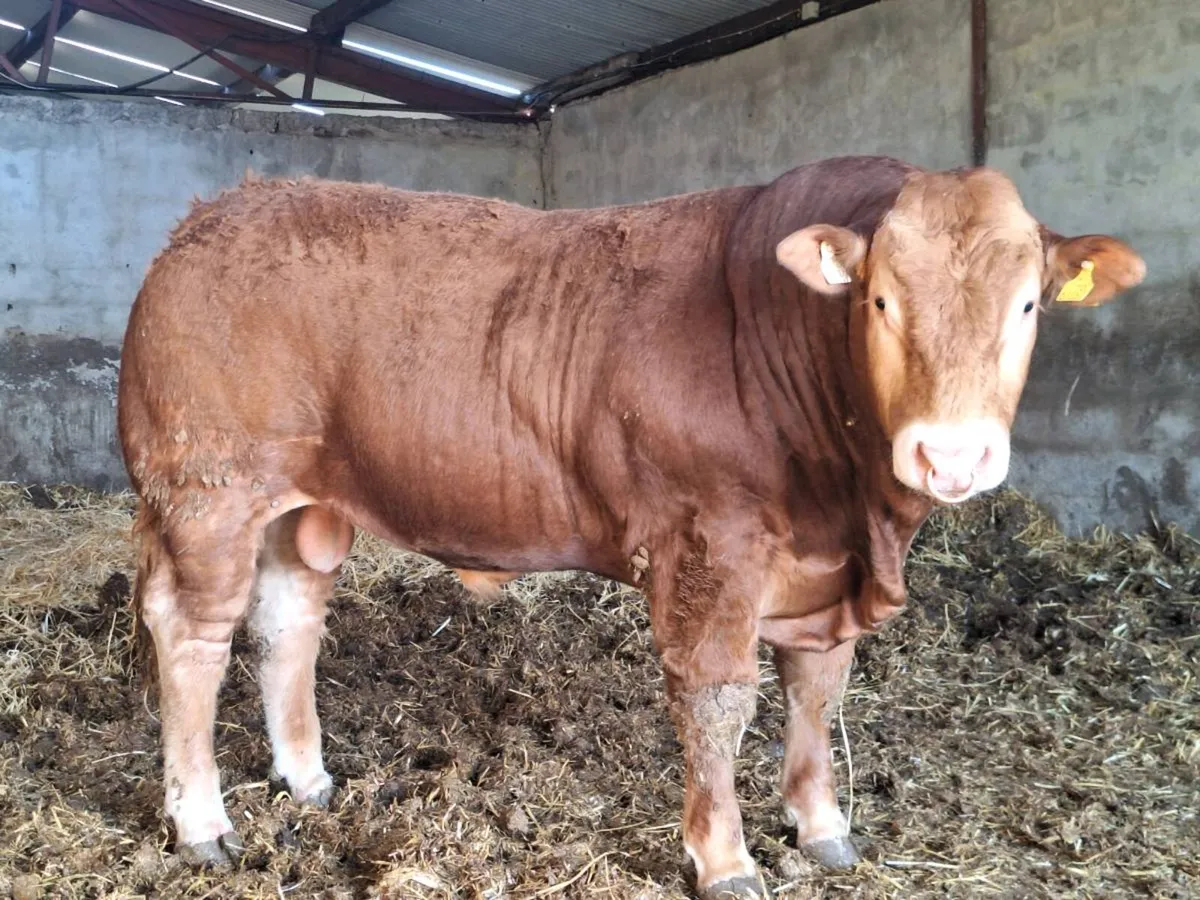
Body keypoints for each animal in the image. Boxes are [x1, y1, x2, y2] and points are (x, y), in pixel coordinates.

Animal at [116, 156, 1144, 898]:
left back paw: (308, 779)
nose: (951, 456)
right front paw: (725, 860)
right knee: (194, 635)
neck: (855, 514)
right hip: (206, 492)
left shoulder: (821, 577)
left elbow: (818, 693)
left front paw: (822, 827)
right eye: (881, 300)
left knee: (287, 623)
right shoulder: (709, 544)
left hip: (304, 505)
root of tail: (211, 217)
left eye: (1027, 304)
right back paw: (203, 823)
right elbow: (718, 701)